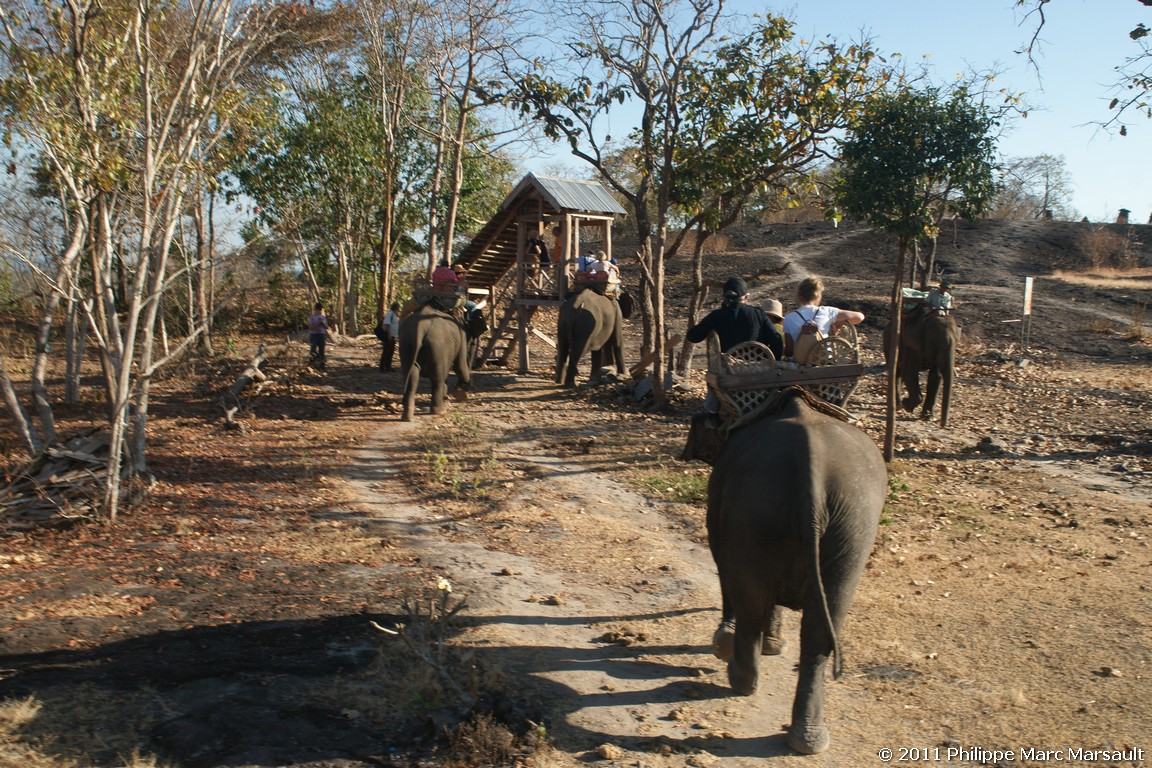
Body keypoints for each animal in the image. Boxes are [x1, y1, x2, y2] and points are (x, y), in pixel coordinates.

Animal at [677, 393, 884, 755]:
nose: (682, 454)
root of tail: (812, 477)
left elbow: (723, 561)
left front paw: (732, 643)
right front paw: (773, 646)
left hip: (757, 513)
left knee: (752, 604)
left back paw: (739, 677)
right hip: (853, 525)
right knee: (820, 628)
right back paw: (808, 740)